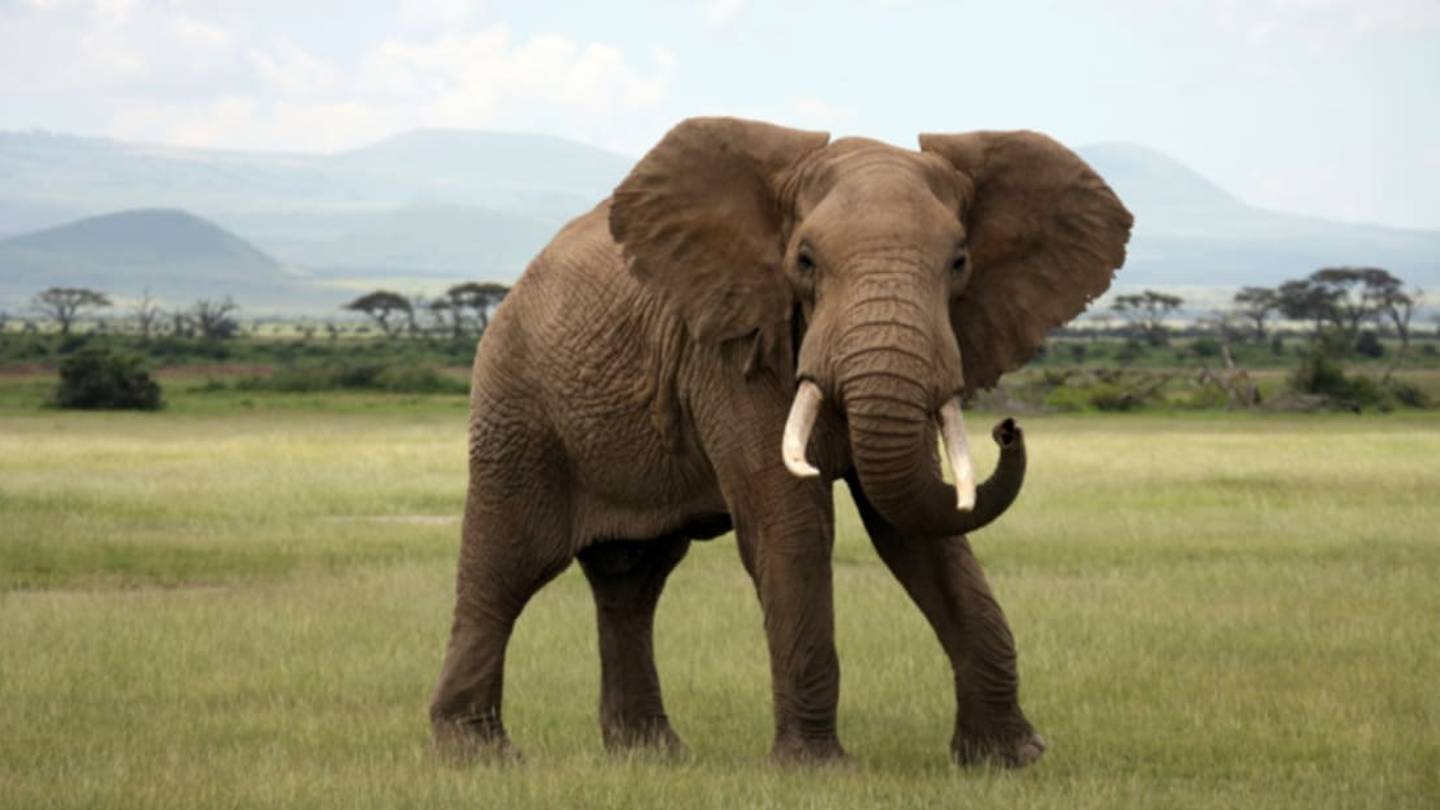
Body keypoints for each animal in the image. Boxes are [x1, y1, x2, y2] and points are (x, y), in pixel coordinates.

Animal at [429, 117, 1132, 767]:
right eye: (805, 262)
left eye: (959, 263)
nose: (1007, 428)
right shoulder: (730, 348)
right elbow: (791, 524)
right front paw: (818, 768)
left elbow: (919, 528)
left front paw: (1011, 760)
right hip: (516, 406)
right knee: (507, 566)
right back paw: (479, 755)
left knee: (632, 581)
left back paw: (652, 756)